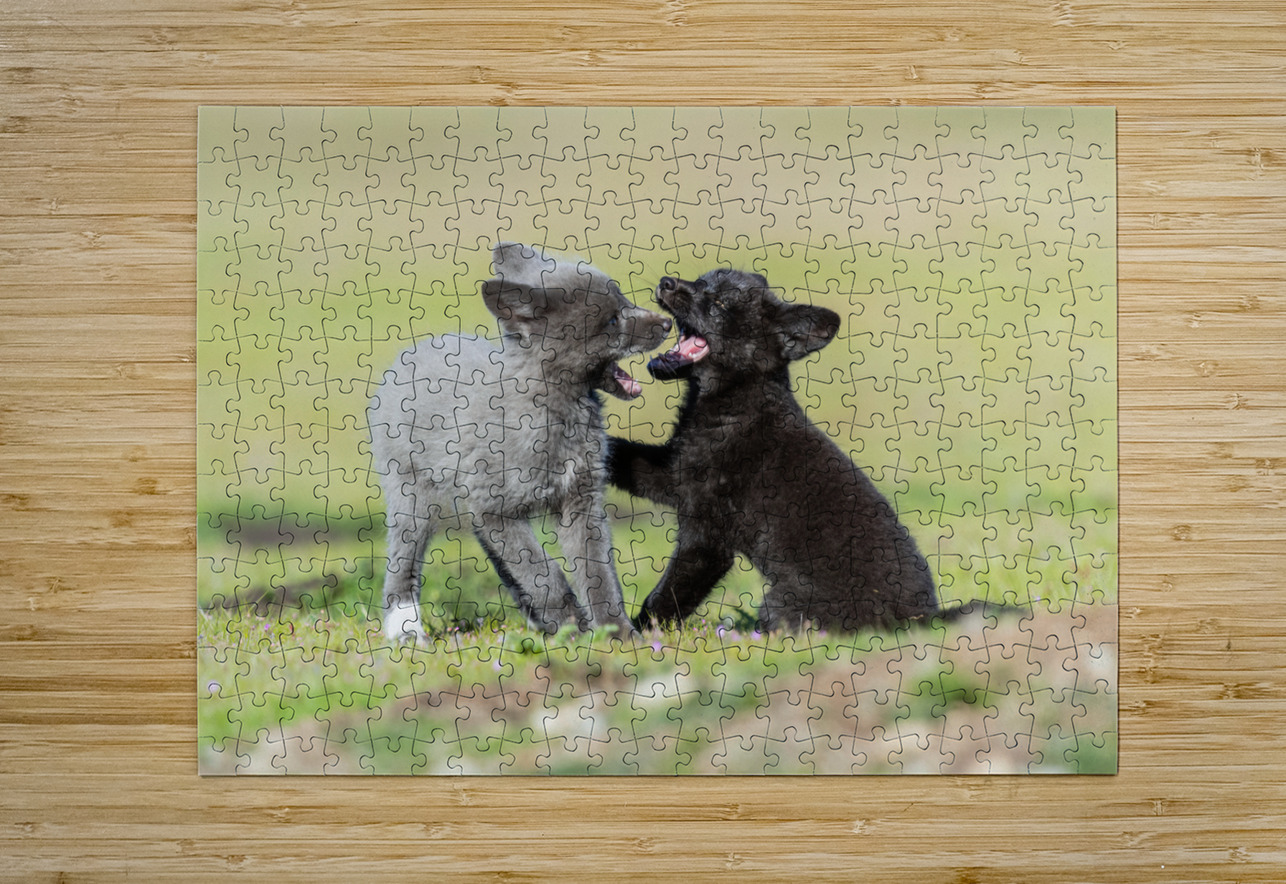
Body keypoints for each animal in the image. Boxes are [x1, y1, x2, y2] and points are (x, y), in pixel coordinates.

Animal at [369, 242, 671, 645]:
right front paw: (573, 626)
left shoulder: (580, 502)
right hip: (412, 496)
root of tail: (416, 350)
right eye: (611, 321)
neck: (556, 412)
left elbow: (597, 573)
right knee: (402, 562)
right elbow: (543, 570)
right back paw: (405, 628)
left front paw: (616, 633)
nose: (667, 323)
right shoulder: (496, 510)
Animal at [608, 268, 996, 633]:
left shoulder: (706, 536)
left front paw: (642, 635)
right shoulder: (675, 475)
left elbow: (668, 596)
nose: (666, 281)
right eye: (701, 281)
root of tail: (922, 620)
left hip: (780, 602)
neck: (734, 399)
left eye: (719, 303)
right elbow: (624, 455)